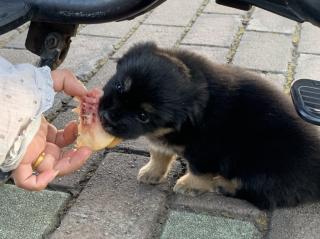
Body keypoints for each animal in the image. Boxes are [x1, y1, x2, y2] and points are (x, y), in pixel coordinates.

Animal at [97, 42, 320, 210]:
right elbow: (159, 154)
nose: (106, 116)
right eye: (119, 85)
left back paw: (221, 184)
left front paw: (189, 185)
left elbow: (199, 171)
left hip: (262, 167)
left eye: (143, 116)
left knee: (260, 195)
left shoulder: (206, 151)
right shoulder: (162, 140)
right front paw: (151, 172)